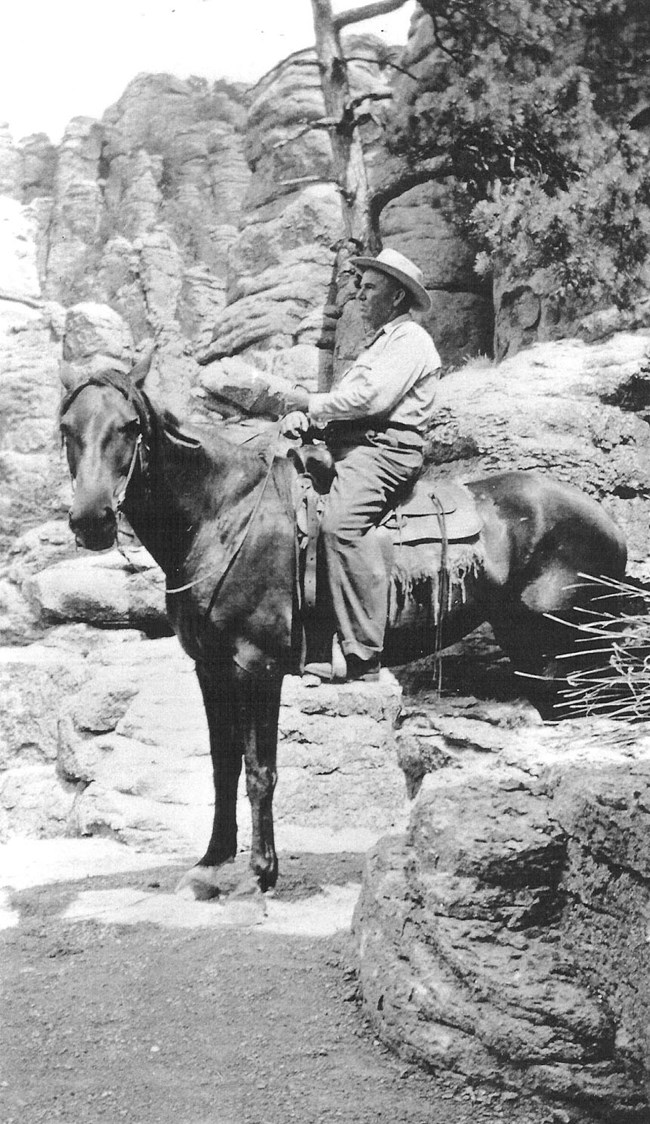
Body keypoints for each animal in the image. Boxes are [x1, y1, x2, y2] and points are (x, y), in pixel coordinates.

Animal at [58, 359, 625, 894]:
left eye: (130, 426)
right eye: (67, 427)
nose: (91, 520)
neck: (224, 516)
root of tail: (608, 523)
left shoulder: (257, 668)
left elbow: (259, 771)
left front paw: (260, 873)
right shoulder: (211, 669)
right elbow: (223, 767)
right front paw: (211, 865)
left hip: (567, 655)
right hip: (537, 655)